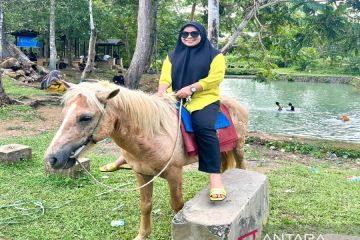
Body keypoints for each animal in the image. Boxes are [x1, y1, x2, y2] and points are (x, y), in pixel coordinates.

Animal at [44, 81, 248, 240]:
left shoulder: (174, 173)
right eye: (64, 114)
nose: (52, 158)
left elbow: (177, 205)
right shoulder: (142, 174)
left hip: (238, 148)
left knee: (241, 167)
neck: (154, 134)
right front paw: (143, 234)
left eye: (85, 117)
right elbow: (145, 205)